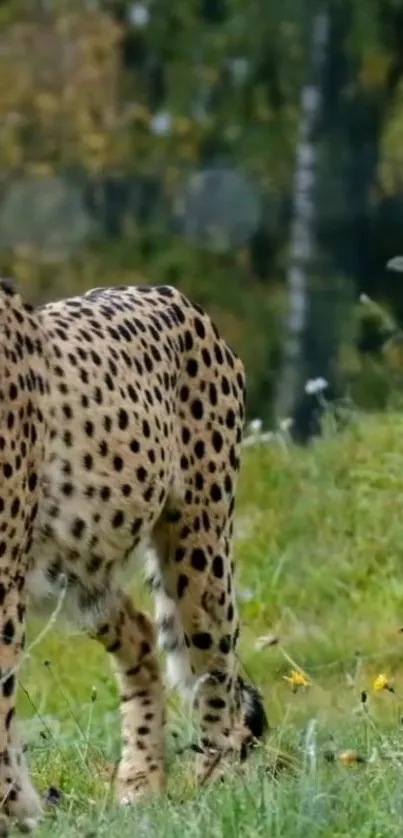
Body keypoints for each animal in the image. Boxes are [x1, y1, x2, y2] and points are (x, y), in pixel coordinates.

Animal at [0, 280, 268, 828]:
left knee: (218, 677)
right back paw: (140, 782)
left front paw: (15, 813)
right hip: (80, 572)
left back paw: (218, 789)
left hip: (200, 552)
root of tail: (171, 294)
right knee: (142, 635)